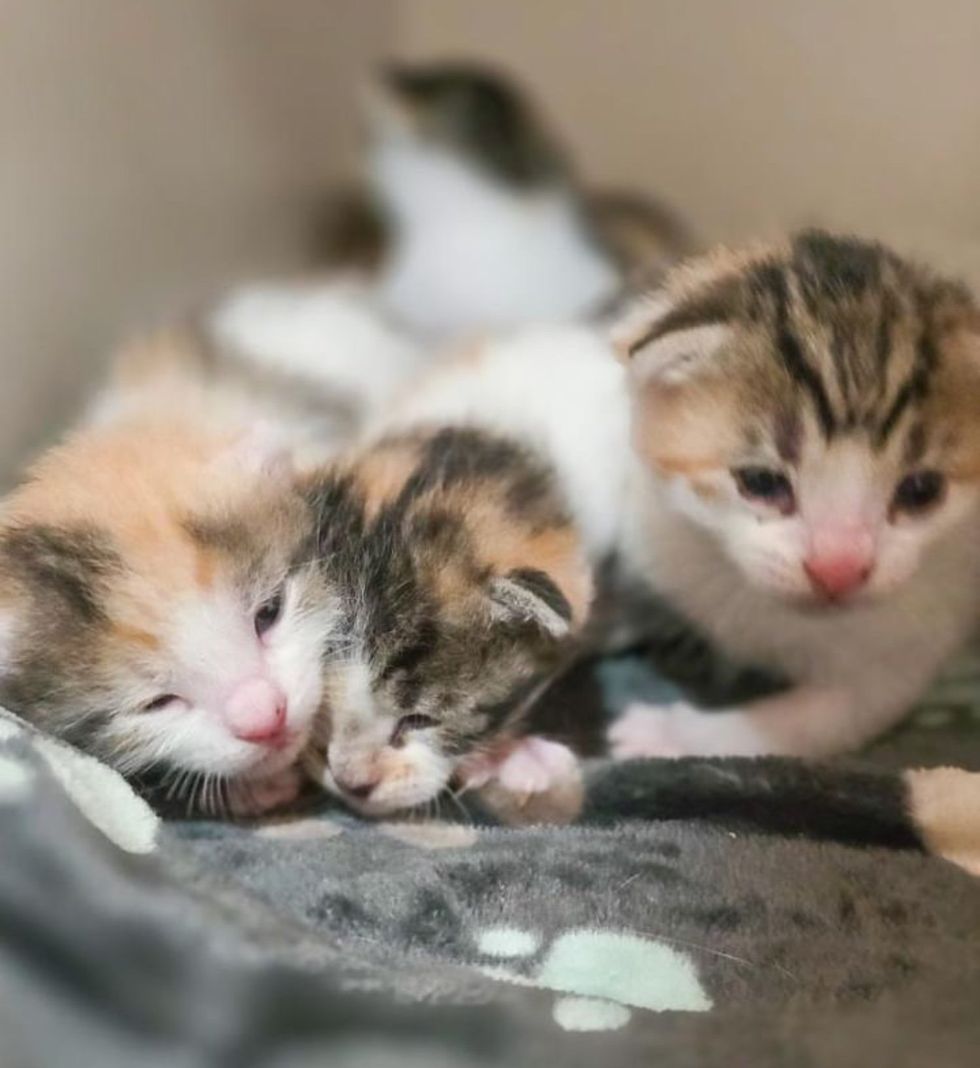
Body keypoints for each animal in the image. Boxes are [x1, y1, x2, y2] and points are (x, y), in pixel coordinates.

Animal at [610, 229, 980, 756]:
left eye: (922, 490)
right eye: (761, 483)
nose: (837, 570)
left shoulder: (908, 651)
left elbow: (803, 723)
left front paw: (669, 734)